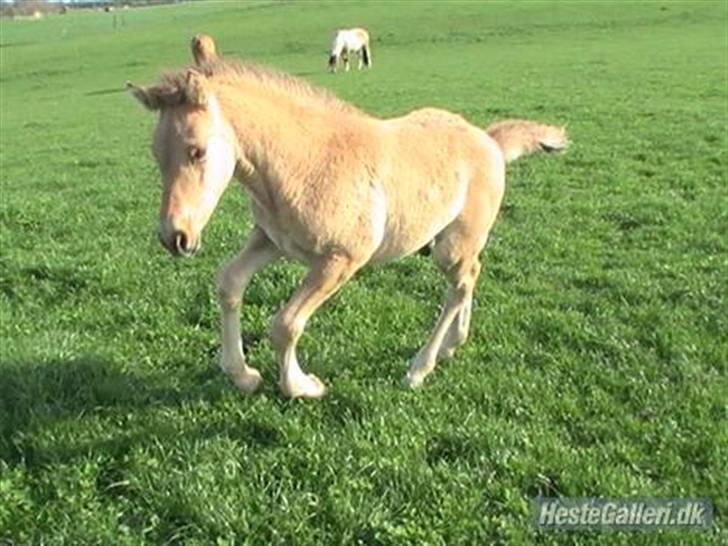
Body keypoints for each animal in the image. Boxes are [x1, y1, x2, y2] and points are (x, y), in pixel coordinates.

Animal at [126, 59, 568, 398]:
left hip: (453, 245)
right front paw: (243, 375)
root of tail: (489, 141)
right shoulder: (272, 241)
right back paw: (450, 347)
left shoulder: (340, 260)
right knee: (470, 277)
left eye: (196, 151)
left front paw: (303, 387)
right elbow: (229, 283)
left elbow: (285, 324)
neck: (304, 163)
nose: (175, 237)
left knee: (460, 283)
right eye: (156, 154)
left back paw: (419, 368)